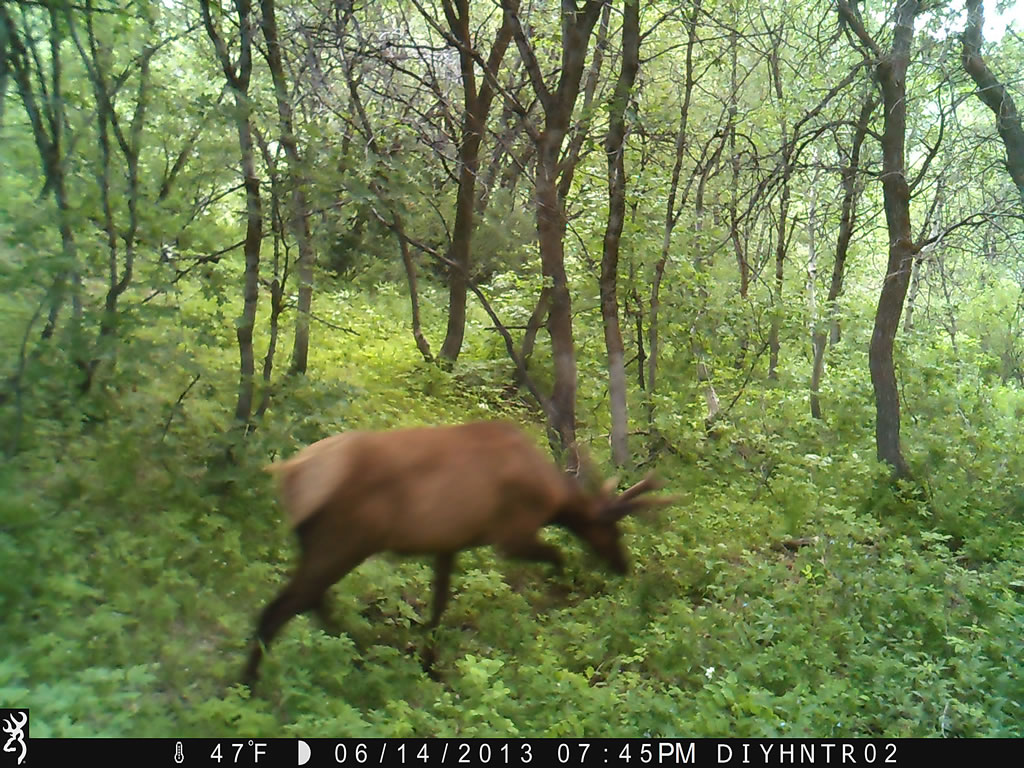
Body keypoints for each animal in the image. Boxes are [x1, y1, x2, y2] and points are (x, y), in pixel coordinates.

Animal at [243, 421, 673, 684]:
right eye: (612, 529)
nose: (624, 565)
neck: (552, 498)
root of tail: (289, 473)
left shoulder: (448, 543)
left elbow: (438, 607)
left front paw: (430, 663)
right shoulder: (511, 535)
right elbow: (558, 557)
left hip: (323, 545)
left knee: (309, 602)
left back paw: (361, 650)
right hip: (343, 540)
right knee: (278, 609)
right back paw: (251, 684)